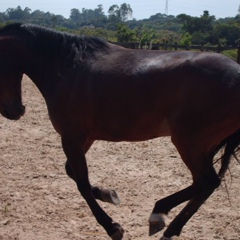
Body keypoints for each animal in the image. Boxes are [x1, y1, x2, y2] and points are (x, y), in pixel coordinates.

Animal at [0, 23, 240, 240]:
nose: (14, 111)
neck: (68, 67)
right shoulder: (83, 138)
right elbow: (72, 172)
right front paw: (108, 194)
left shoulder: (71, 138)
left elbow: (82, 184)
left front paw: (112, 227)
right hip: (202, 146)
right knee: (203, 185)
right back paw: (166, 224)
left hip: (189, 143)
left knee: (207, 182)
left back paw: (160, 216)